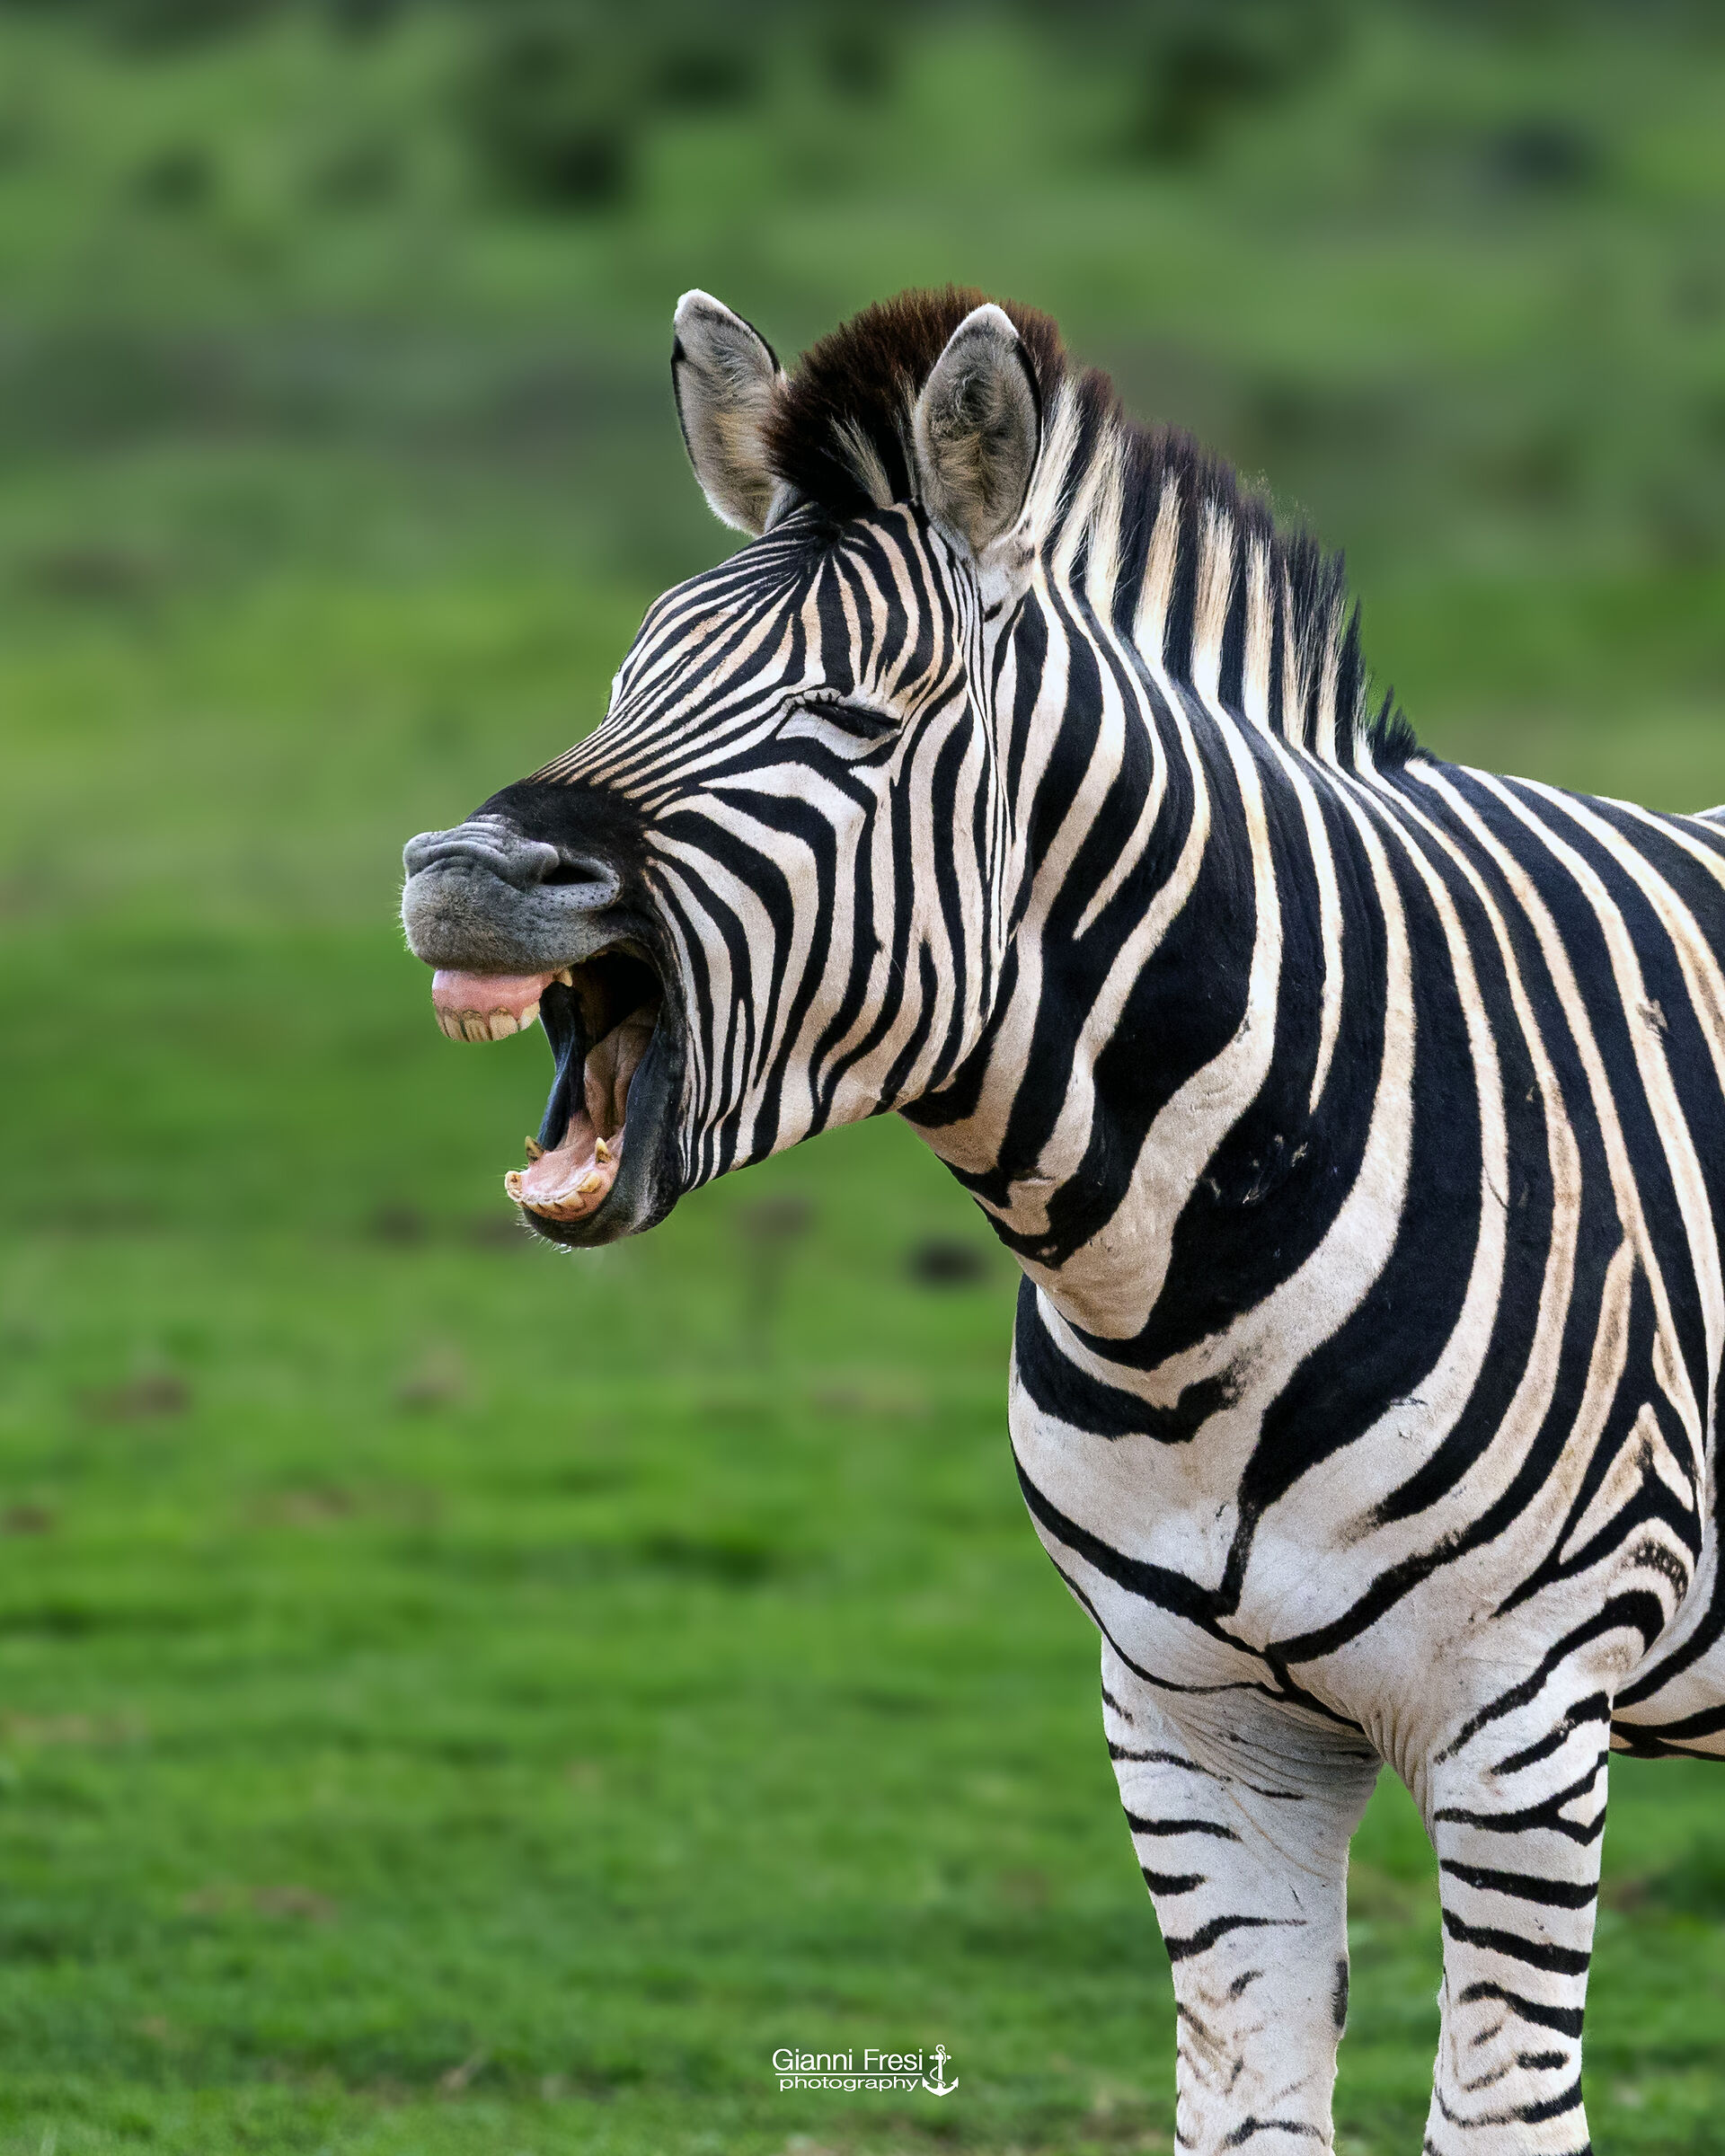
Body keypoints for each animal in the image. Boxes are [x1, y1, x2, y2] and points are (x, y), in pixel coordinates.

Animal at [400, 287, 1725, 2153]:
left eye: (857, 721)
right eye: (626, 682)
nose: (467, 875)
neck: (1185, 1283)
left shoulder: (1523, 1721)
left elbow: (1499, 2119)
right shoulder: (1192, 1724)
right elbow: (1244, 2111)